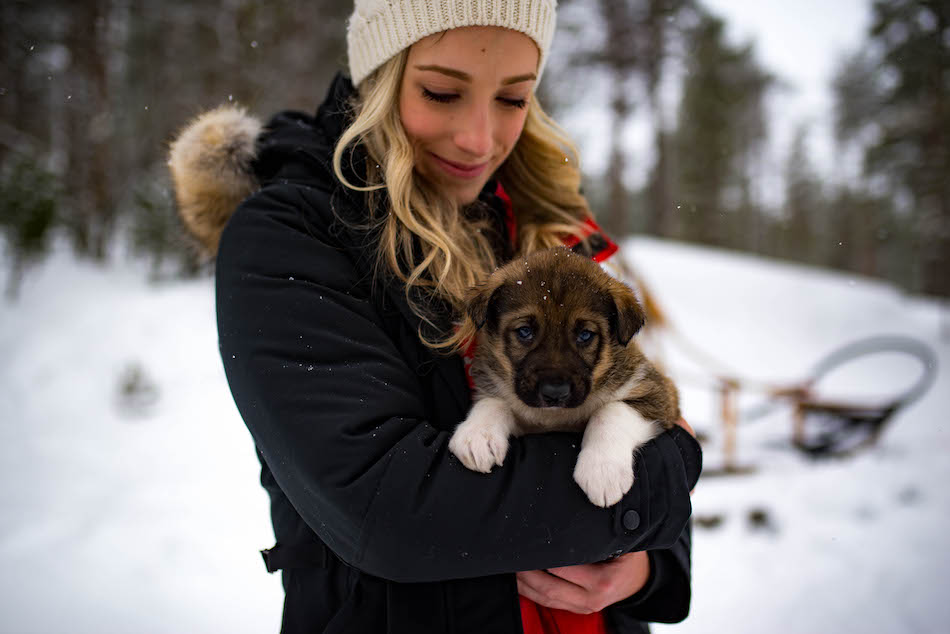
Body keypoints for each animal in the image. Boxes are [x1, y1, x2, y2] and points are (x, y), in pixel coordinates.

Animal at [450, 246, 680, 504]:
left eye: (585, 335)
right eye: (525, 331)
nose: (555, 393)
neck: (555, 417)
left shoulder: (656, 390)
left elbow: (611, 412)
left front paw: (602, 470)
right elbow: (493, 402)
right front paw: (478, 435)